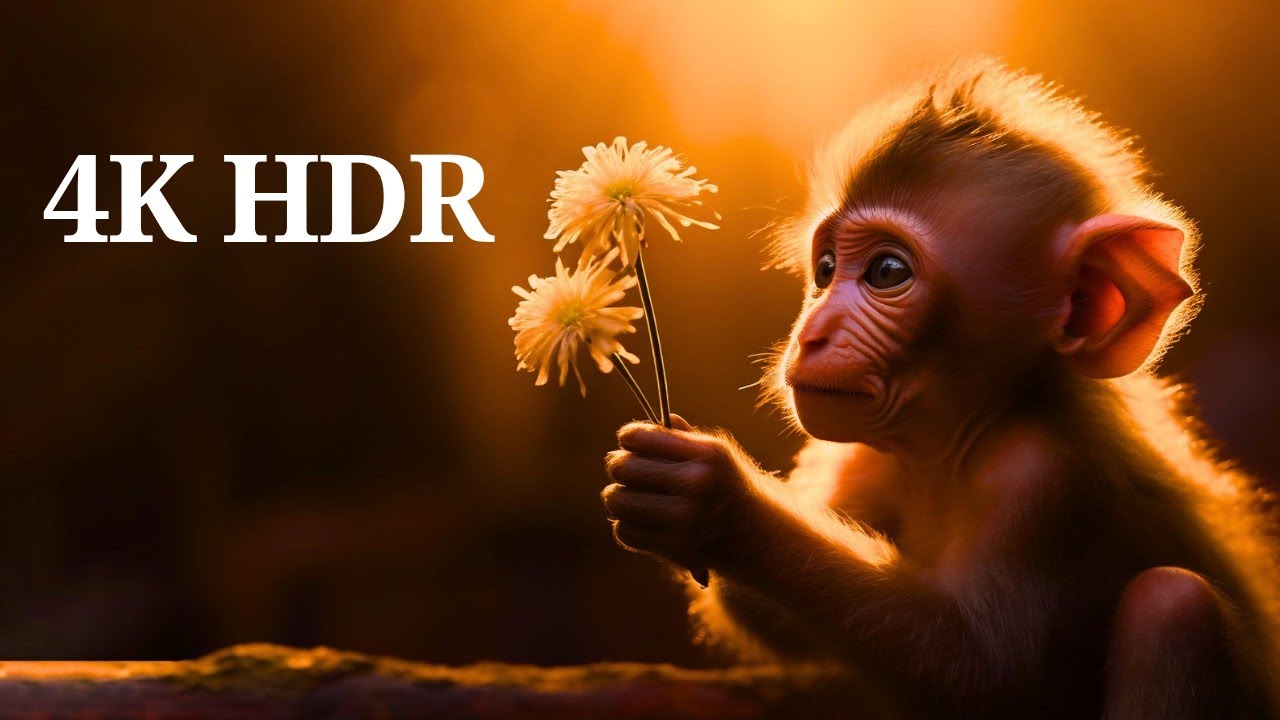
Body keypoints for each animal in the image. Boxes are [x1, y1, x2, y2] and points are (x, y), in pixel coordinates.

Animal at [600, 58, 1280, 719]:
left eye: (887, 272)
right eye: (825, 270)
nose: (812, 335)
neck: (955, 443)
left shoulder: (1040, 479)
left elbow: (985, 679)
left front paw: (718, 505)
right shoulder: (865, 460)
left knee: (1174, 606)